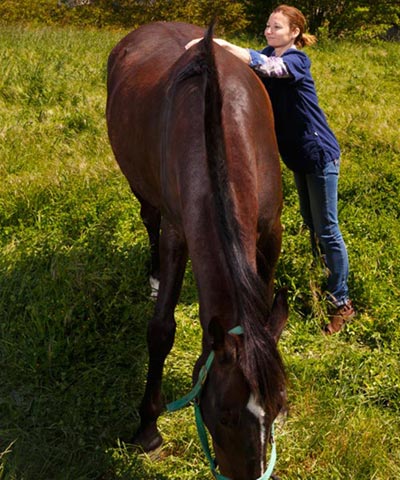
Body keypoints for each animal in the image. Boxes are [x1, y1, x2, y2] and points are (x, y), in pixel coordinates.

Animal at [106, 21, 288, 480]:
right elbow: (161, 331)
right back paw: (153, 273)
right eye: (223, 415)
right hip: (143, 190)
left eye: (278, 408)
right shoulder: (177, 231)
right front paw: (148, 427)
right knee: (148, 218)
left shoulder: (270, 231)